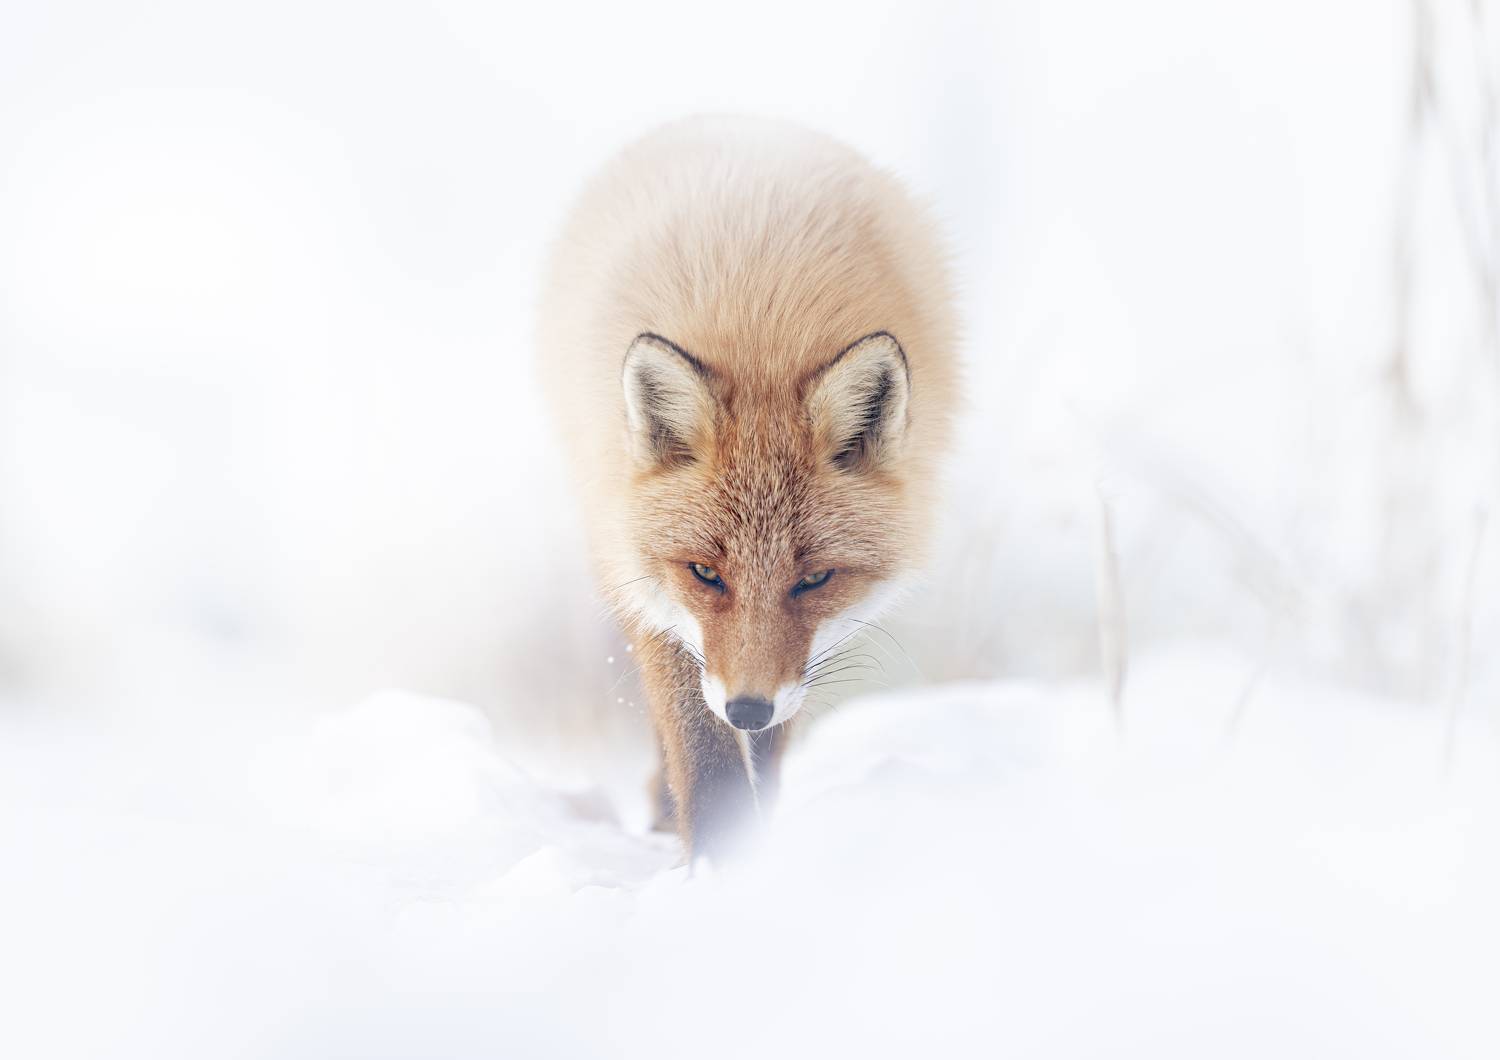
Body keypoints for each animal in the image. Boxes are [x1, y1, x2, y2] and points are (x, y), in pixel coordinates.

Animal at [538, 115, 957, 861]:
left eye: (814, 579)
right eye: (705, 573)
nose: (749, 708)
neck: (762, 331)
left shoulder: (793, 661)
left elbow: (763, 746)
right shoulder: (647, 582)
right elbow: (699, 741)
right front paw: (716, 860)